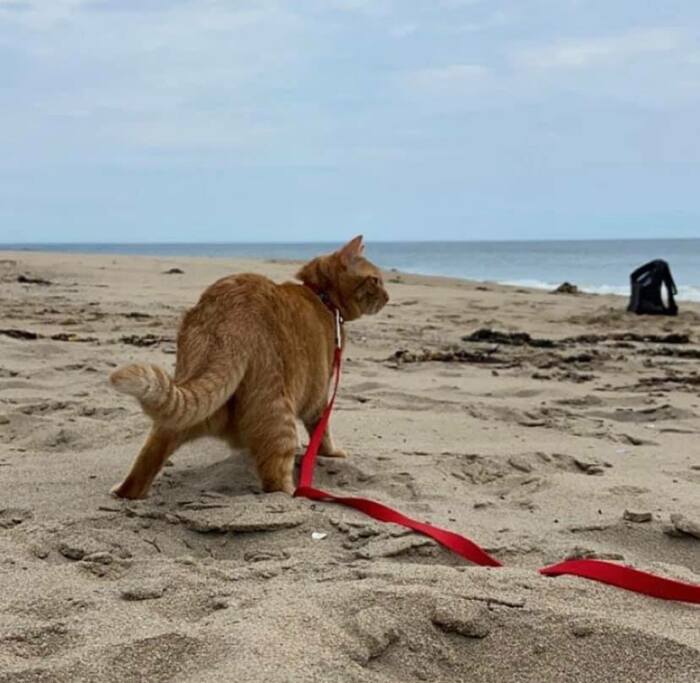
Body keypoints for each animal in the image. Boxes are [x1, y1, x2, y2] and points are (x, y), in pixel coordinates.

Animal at [109, 238, 388, 500]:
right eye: (376, 280)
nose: (388, 297)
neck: (321, 297)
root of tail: (228, 314)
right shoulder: (319, 396)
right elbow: (322, 432)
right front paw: (332, 453)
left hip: (178, 417)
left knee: (145, 463)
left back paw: (124, 491)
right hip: (280, 413)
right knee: (275, 480)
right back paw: (295, 493)